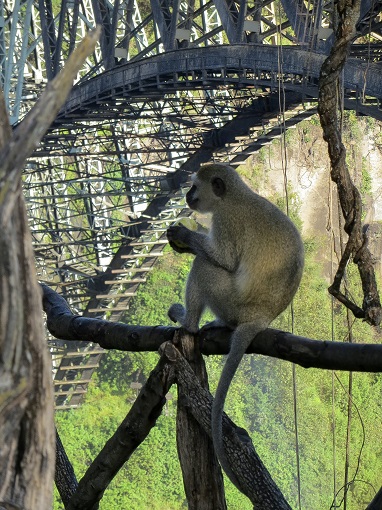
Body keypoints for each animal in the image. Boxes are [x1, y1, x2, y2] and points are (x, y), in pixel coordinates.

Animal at [167, 163, 304, 490]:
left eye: (195, 186)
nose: (187, 196)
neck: (234, 197)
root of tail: (260, 318)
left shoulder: (226, 220)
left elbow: (224, 259)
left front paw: (184, 234)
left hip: (230, 300)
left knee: (205, 266)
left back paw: (189, 323)